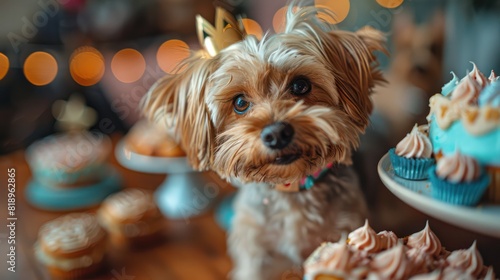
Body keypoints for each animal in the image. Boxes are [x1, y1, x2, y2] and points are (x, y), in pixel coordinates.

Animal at [143, 3, 384, 278]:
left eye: (300, 85)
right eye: (239, 102)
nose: (276, 133)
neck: (290, 189)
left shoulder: (346, 224)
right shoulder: (255, 253)